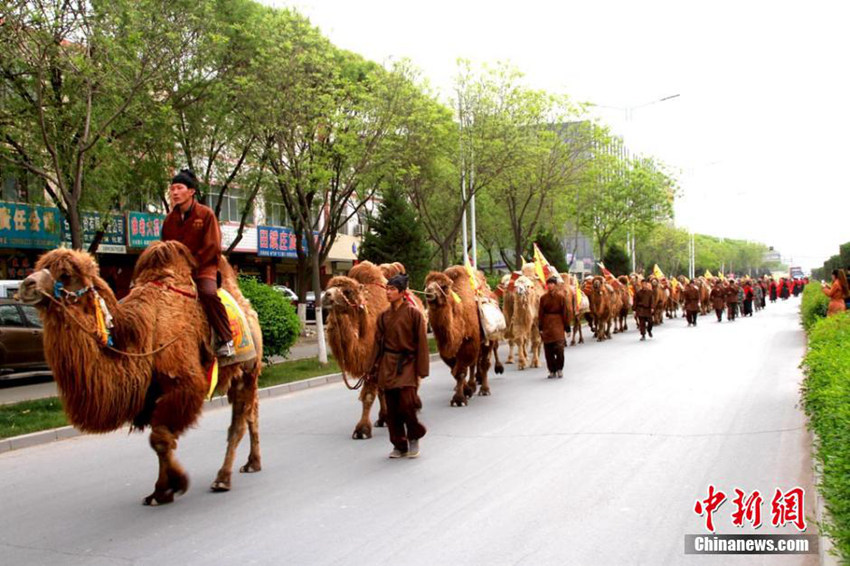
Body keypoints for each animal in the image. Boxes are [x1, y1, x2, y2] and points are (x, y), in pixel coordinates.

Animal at [19, 242, 262, 508]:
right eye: (40, 266)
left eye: (65, 275)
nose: (26, 285)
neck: (141, 334)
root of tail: (247, 306)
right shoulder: (151, 394)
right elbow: (159, 441)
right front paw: (160, 491)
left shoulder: (184, 385)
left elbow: (160, 438)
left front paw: (176, 482)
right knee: (251, 413)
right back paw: (252, 463)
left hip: (247, 370)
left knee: (238, 423)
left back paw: (223, 479)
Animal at [422, 268, 496, 408]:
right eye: (427, 283)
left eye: (444, 286)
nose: (429, 291)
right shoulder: (446, 351)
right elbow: (455, 371)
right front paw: (467, 390)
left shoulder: (469, 343)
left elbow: (460, 371)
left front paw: (459, 399)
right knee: (474, 364)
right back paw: (473, 386)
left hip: (488, 340)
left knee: (484, 363)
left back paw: (485, 390)